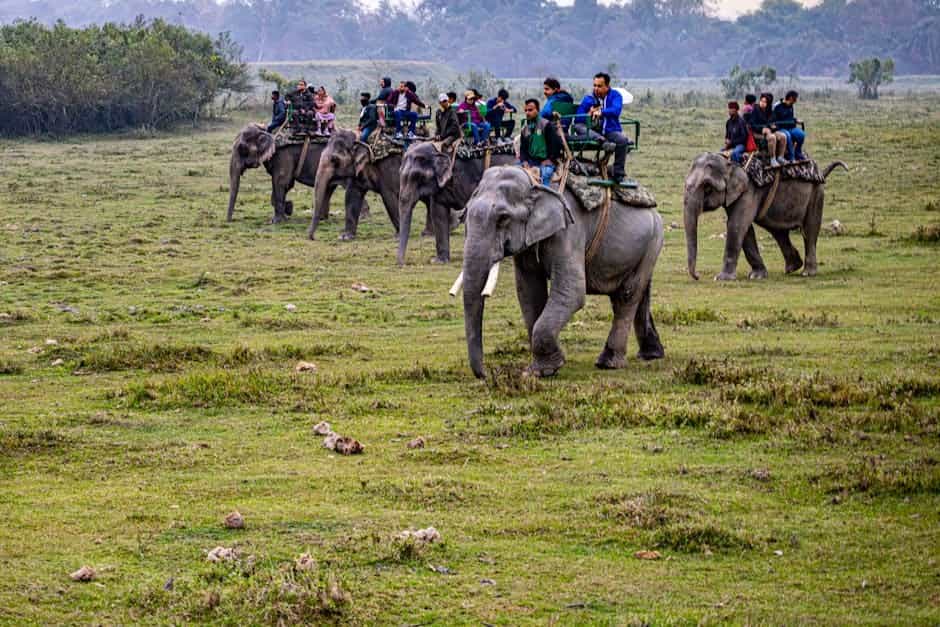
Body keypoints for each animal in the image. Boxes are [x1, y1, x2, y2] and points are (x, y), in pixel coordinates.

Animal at [227, 124, 363, 225]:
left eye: (242, 148)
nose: (230, 221)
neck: (267, 130)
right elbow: (287, 184)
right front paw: (288, 210)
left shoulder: (283, 154)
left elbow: (281, 182)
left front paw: (277, 221)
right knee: (329, 188)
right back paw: (322, 219)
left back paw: (362, 218)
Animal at [460, 166, 665, 379]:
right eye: (464, 215)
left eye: (503, 218)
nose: (485, 375)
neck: (535, 181)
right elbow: (528, 292)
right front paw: (545, 367)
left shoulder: (568, 231)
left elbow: (572, 291)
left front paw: (546, 369)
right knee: (638, 293)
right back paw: (651, 354)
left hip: (654, 240)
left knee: (626, 295)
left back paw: (608, 363)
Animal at [683, 152, 848, 281]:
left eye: (707, 187)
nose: (697, 276)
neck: (729, 161)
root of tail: (820, 171)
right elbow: (744, 229)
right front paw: (757, 276)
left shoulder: (750, 190)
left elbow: (737, 224)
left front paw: (721, 278)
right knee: (778, 231)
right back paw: (792, 268)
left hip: (816, 193)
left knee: (809, 230)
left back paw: (807, 273)